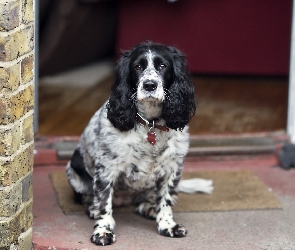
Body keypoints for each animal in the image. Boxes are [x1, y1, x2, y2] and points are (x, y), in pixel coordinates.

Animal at [66, 42, 198, 245]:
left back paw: (150, 208)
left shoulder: (173, 166)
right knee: (88, 197)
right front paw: (103, 230)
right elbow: (104, 202)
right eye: (137, 67)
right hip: (74, 167)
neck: (150, 123)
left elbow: (166, 198)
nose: (149, 85)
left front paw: (167, 225)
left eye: (163, 66)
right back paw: (92, 208)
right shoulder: (107, 167)